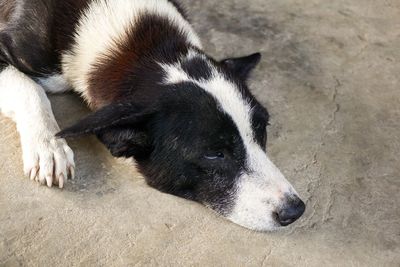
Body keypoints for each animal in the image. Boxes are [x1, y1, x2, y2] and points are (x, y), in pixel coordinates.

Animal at [0, 0, 306, 230]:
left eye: (261, 130)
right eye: (214, 154)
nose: (295, 211)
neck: (140, 46)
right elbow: (30, 88)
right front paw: (48, 145)